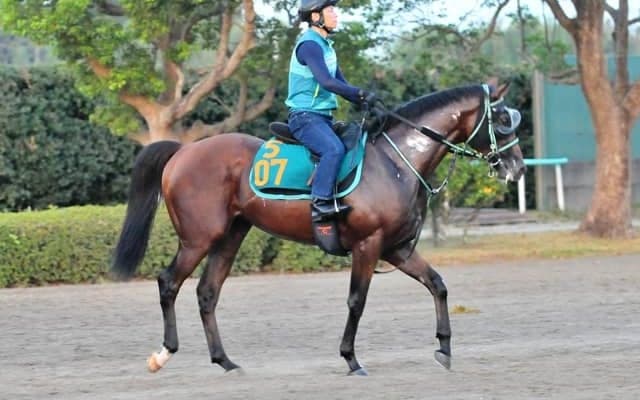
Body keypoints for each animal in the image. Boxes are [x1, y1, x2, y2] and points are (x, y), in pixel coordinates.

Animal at [111, 80, 526, 376]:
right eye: (503, 120)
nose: (518, 168)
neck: (395, 161)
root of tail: (183, 151)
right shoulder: (368, 245)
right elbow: (357, 301)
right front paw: (351, 359)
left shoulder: (397, 249)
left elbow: (437, 285)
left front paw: (444, 347)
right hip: (198, 239)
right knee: (169, 283)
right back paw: (163, 354)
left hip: (230, 236)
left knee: (207, 293)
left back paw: (225, 361)